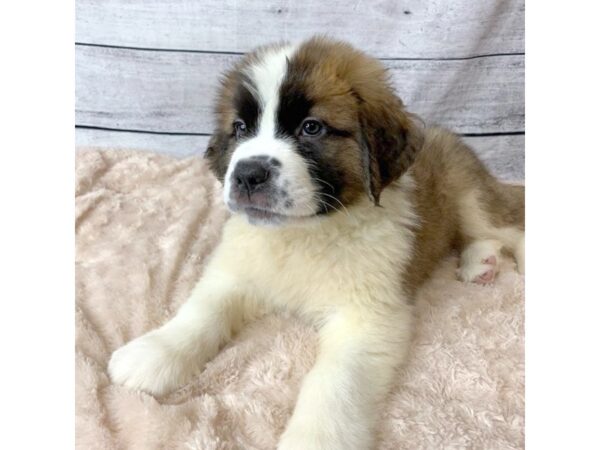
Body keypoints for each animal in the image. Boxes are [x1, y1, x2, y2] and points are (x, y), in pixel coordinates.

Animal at [108, 36, 524, 450]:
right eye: (240, 128)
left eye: (311, 128)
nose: (247, 174)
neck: (304, 233)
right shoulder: (236, 270)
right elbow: (200, 312)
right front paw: (153, 352)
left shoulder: (367, 318)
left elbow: (334, 382)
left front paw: (317, 437)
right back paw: (479, 263)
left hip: (468, 195)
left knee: (504, 227)